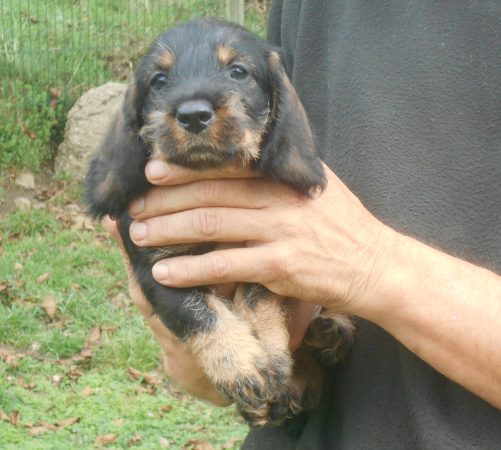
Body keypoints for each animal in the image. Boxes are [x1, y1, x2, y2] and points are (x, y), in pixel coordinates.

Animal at [85, 18, 352, 426]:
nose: (193, 114)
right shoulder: (159, 269)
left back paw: (331, 331)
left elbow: (259, 300)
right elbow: (200, 314)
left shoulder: (271, 254)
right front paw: (242, 365)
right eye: (158, 80)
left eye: (238, 71)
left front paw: (268, 353)